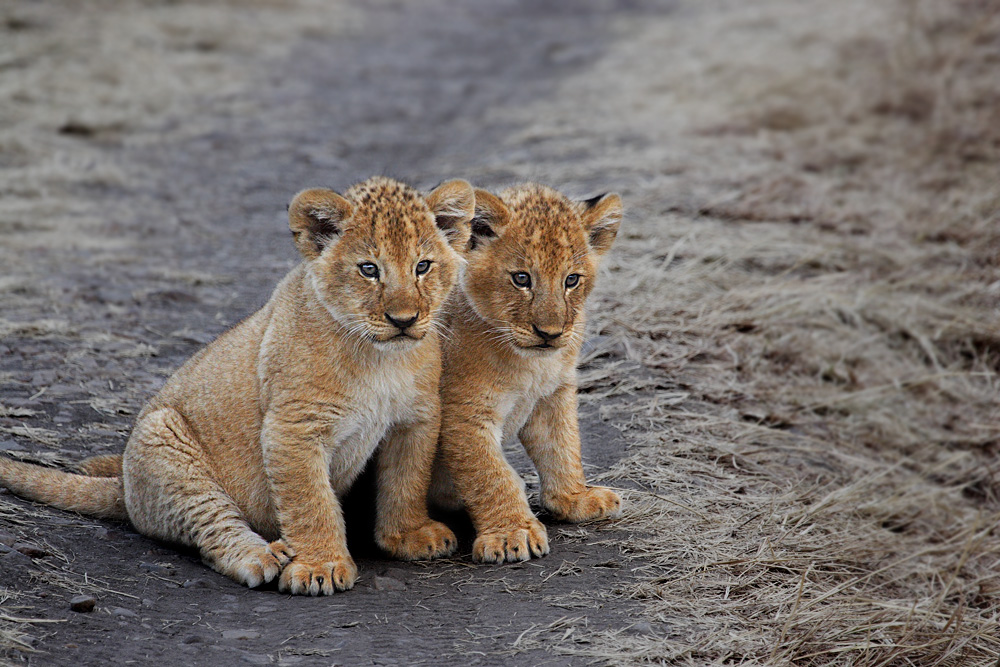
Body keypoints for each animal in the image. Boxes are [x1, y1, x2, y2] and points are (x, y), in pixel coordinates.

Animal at [0, 176, 476, 595]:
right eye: (369, 269)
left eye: (422, 266)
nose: (404, 320)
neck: (381, 359)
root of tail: (127, 490)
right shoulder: (292, 428)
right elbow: (311, 502)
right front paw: (320, 566)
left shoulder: (414, 419)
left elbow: (406, 480)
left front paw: (409, 535)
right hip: (164, 436)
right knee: (214, 528)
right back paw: (262, 557)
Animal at [432, 183, 624, 563]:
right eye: (522, 278)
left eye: (571, 280)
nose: (550, 333)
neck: (531, 364)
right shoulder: (463, 413)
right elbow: (491, 474)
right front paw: (511, 533)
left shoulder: (552, 395)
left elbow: (563, 446)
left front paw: (575, 499)